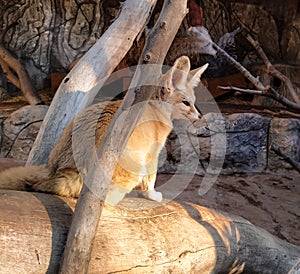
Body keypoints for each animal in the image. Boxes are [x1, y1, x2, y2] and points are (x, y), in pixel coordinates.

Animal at [0, 56, 207, 203]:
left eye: (194, 102)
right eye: (186, 103)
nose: (199, 116)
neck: (152, 105)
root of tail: (67, 169)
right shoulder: (152, 154)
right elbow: (151, 180)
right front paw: (152, 195)